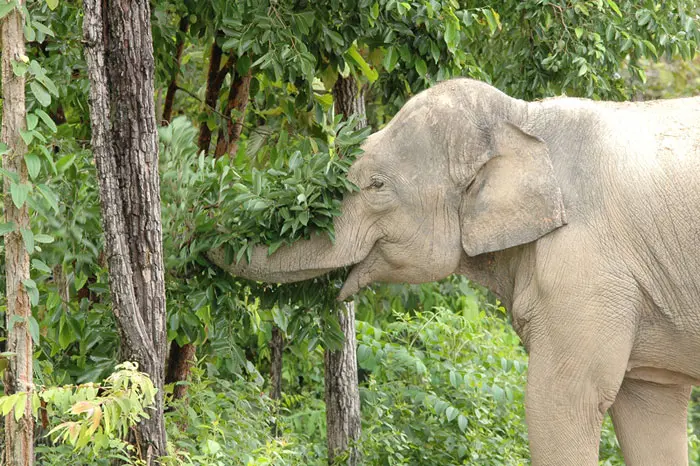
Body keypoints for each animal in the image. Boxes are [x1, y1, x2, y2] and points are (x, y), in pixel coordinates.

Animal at [211, 78, 700, 464]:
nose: (203, 212)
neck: (524, 119)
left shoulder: (587, 267)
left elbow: (564, 401)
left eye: (377, 185)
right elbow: (646, 407)